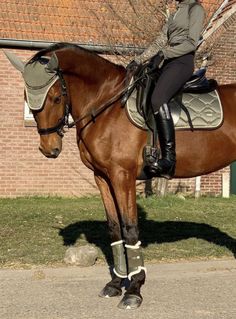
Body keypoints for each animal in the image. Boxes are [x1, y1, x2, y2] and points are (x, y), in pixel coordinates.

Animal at [4, 42, 236, 310]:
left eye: (55, 97)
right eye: (25, 97)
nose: (48, 148)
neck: (107, 105)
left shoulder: (122, 176)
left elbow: (130, 228)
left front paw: (134, 290)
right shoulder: (102, 177)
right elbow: (115, 228)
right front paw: (115, 284)